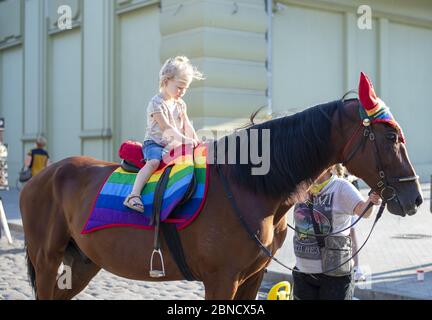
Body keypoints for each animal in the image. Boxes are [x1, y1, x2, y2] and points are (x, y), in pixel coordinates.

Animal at [20, 75, 422, 300]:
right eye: (391, 137)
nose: (415, 197)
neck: (252, 189)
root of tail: (41, 177)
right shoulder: (221, 281)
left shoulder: (251, 278)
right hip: (47, 259)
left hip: (81, 262)